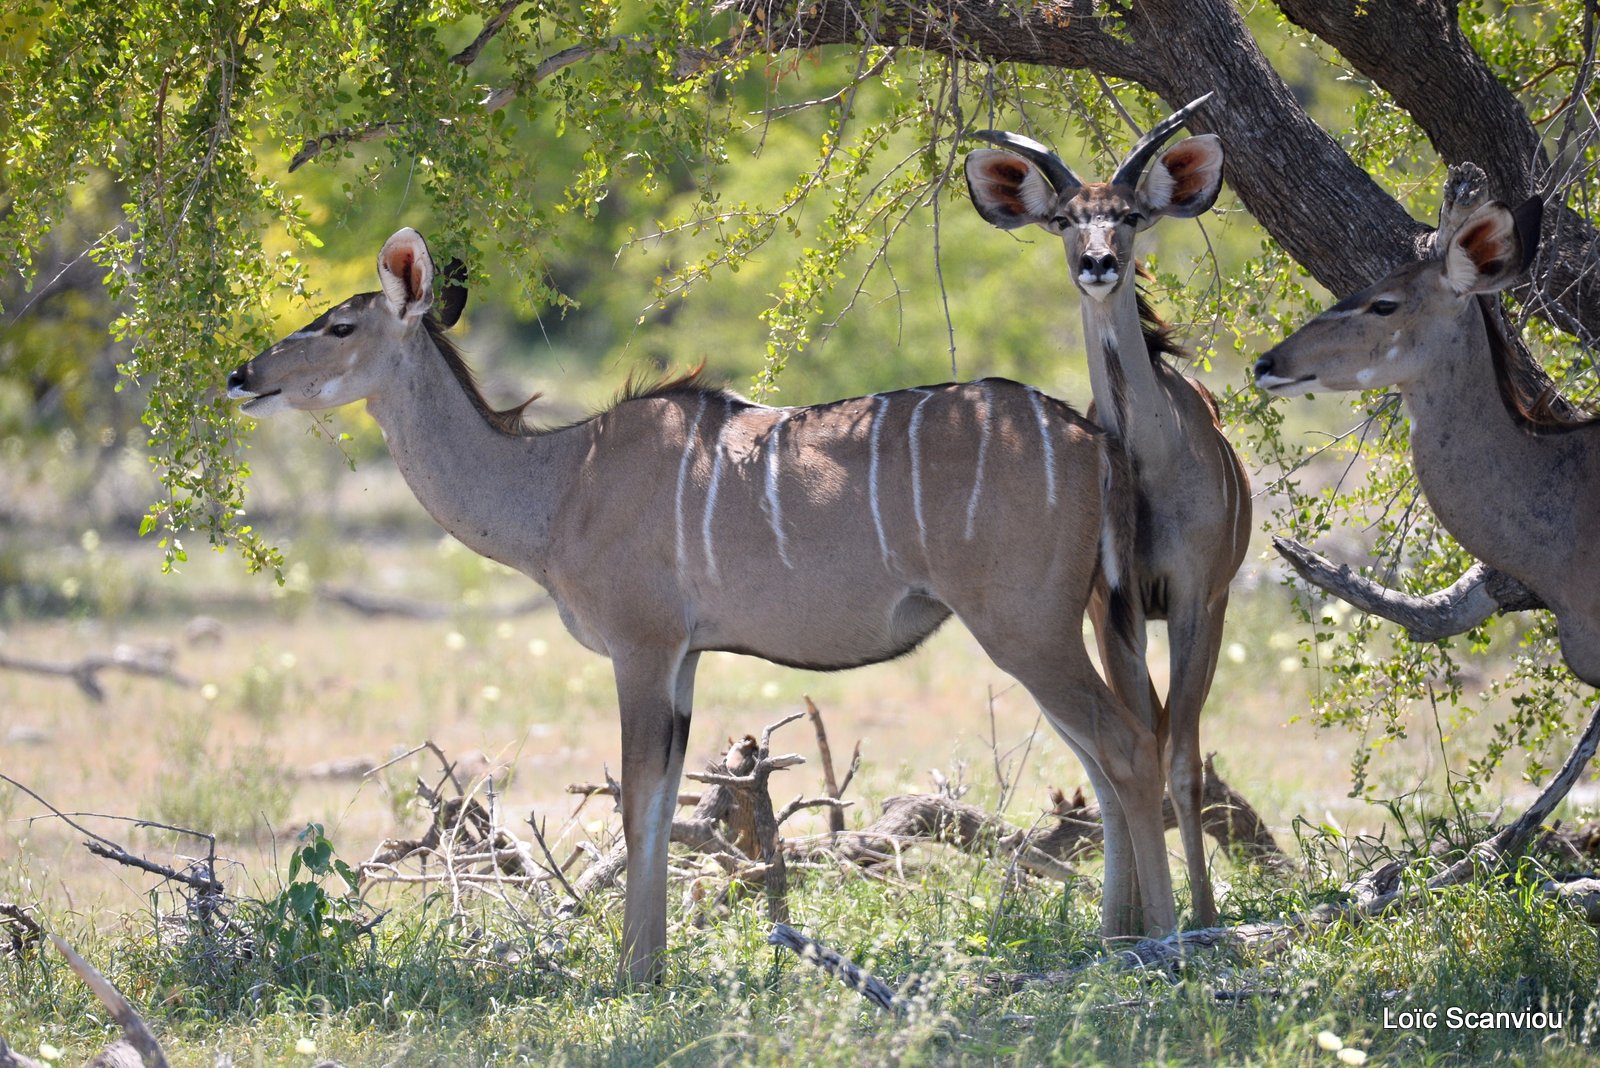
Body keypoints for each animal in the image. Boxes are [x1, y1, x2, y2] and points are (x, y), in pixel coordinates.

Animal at [228, 227, 1177, 984]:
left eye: (339, 326)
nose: (243, 375)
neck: (560, 484)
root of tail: (1094, 439)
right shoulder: (683, 658)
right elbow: (663, 798)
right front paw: (648, 965)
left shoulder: (642, 648)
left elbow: (639, 799)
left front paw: (632, 973)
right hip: (1064, 627)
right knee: (1104, 759)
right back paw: (1112, 937)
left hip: (1023, 628)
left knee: (1131, 747)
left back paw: (1167, 942)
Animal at [960, 93, 1248, 927]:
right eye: (1064, 218)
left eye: (1128, 215)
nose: (1098, 265)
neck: (1151, 468)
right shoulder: (1110, 610)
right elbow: (1140, 741)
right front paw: (1145, 920)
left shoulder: (1196, 599)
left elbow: (1181, 756)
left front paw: (1202, 918)